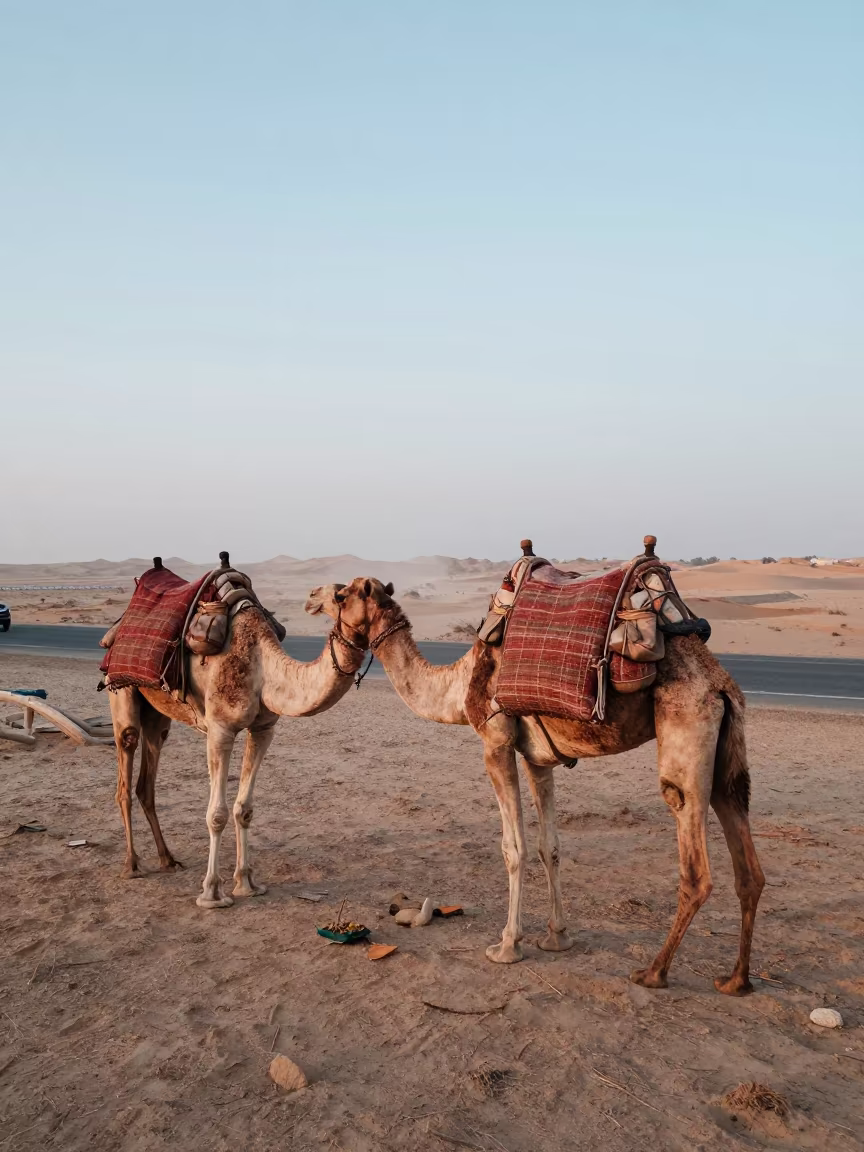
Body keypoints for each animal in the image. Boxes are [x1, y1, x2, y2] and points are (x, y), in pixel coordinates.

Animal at [108, 585, 373, 908]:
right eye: (341, 595)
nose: (312, 596)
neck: (263, 665)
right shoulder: (220, 730)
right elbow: (216, 814)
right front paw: (212, 893)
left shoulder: (263, 729)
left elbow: (244, 808)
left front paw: (246, 883)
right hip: (120, 690)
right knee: (126, 762)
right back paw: (131, 865)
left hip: (158, 713)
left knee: (147, 776)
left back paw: (168, 860)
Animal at [310, 572, 765, 996]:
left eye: (341, 595)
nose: (312, 597)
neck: (458, 686)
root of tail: (719, 684)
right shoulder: (537, 758)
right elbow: (551, 846)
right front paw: (556, 937)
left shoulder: (495, 743)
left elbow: (514, 848)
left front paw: (507, 946)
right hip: (728, 754)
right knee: (748, 864)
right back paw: (736, 980)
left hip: (686, 726)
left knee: (693, 858)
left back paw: (654, 972)